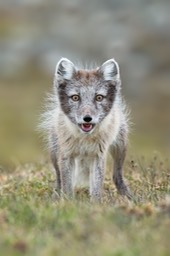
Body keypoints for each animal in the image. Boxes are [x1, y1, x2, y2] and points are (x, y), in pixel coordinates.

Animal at [40, 57, 131, 202]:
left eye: (99, 97)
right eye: (75, 97)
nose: (87, 118)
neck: (84, 139)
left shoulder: (98, 155)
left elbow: (97, 187)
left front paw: (96, 205)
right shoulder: (66, 154)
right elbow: (67, 184)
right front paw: (67, 203)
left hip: (120, 147)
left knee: (117, 175)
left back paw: (127, 195)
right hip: (54, 152)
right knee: (59, 178)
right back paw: (56, 195)